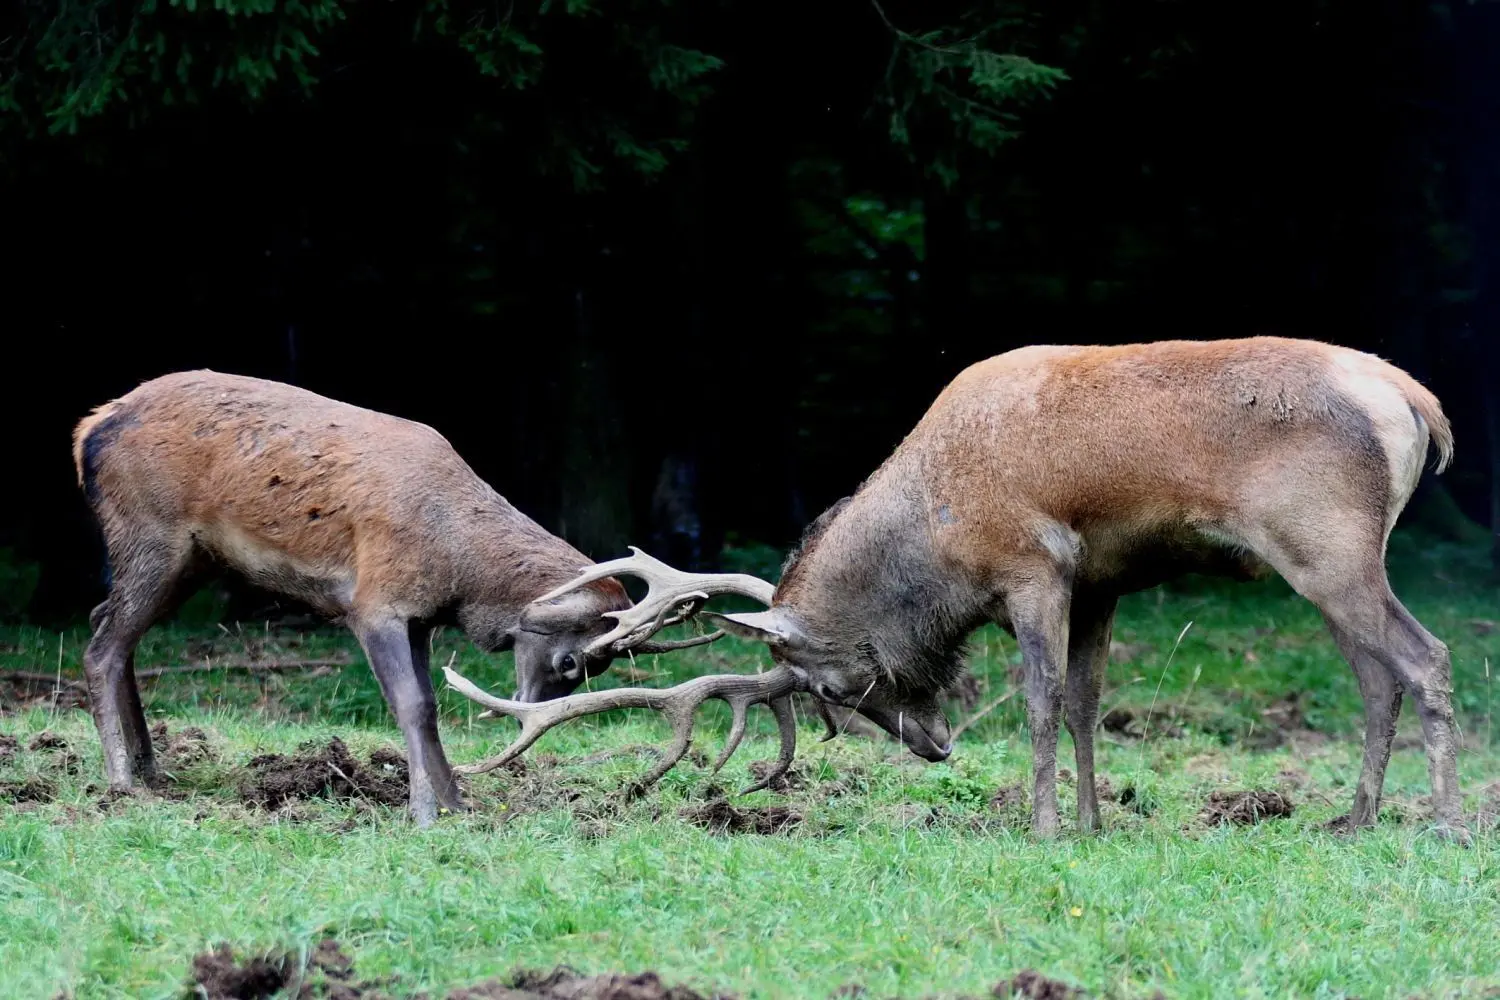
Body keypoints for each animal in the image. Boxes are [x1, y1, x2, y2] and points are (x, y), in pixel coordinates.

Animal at [70, 370, 752, 825]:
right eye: (570, 660)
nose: (525, 710)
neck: (456, 568)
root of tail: (87, 430)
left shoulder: (421, 618)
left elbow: (428, 704)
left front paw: (455, 802)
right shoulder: (374, 601)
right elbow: (415, 704)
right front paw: (425, 810)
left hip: (191, 559)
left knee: (111, 625)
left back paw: (152, 766)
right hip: (152, 533)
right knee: (102, 645)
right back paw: (122, 781)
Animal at [442, 336, 1470, 843]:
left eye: (831, 687)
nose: (935, 748)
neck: (939, 540)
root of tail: (1421, 403)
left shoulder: (1033, 565)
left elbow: (1042, 699)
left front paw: (1043, 827)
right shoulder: (1102, 580)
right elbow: (1089, 702)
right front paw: (1094, 822)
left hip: (1326, 543)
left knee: (1426, 658)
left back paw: (1446, 827)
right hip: (1329, 561)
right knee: (1376, 679)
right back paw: (1354, 819)